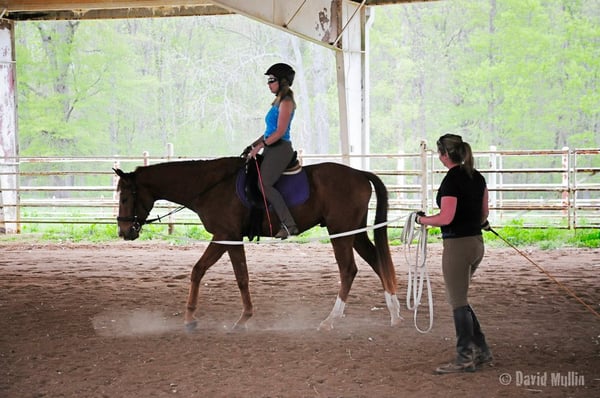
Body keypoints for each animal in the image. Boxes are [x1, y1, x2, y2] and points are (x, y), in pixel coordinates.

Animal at [114, 157, 400, 332]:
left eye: (126, 197)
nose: (124, 231)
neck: (210, 186)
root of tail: (359, 173)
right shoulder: (225, 237)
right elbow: (201, 271)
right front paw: (191, 319)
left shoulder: (226, 235)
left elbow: (237, 276)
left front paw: (242, 319)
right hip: (354, 232)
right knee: (377, 262)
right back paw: (394, 314)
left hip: (340, 232)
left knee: (348, 270)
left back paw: (331, 320)